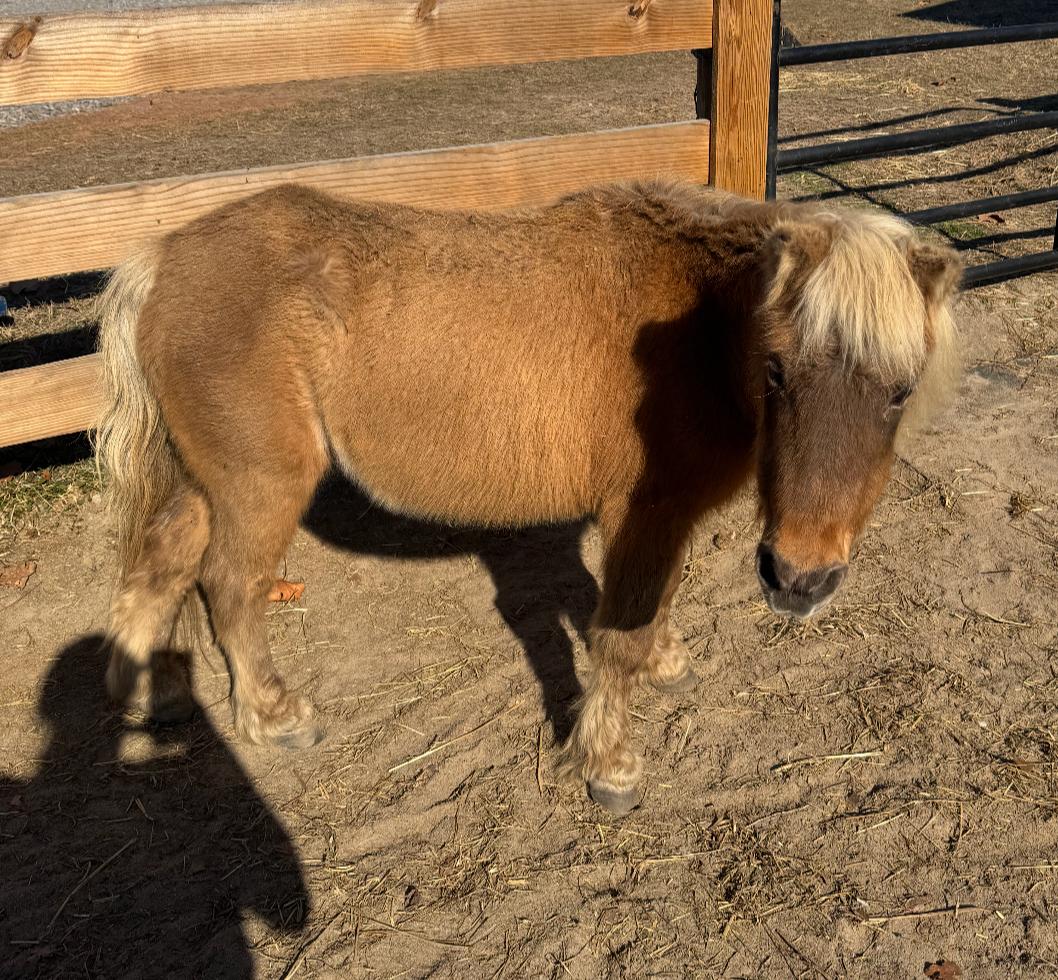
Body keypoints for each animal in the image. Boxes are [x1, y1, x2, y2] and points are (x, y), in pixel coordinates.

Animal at [94, 179, 960, 814]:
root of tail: (163, 259)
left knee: (161, 566)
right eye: (777, 371)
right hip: (261, 485)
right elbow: (617, 633)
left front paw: (668, 662)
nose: (800, 579)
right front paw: (610, 765)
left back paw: (144, 693)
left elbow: (657, 606)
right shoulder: (640, 513)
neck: (700, 326)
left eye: (900, 391)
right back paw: (275, 717)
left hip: (206, 481)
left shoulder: (668, 517)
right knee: (228, 585)